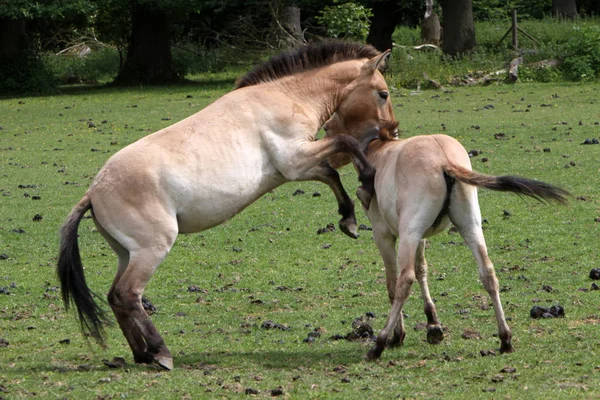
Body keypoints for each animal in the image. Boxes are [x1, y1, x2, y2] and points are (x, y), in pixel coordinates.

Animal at [56, 42, 394, 370]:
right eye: (383, 93)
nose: (392, 131)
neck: (284, 97)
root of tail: (93, 192)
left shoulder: (297, 167)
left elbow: (331, 173)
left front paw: (348, 220)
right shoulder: (295, 159)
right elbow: (346, 144)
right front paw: (367, 180)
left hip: (127, 254)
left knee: (115, 297)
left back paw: (142, 355)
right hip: (151, 249)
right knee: (127, 295)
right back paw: (161, 353)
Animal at [346, 122, 568, 360]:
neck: (377, 149)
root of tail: (443, 160)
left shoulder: (385, 235)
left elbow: (393, 282)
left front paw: (400, 334)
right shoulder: (421, 236)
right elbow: (422, 269)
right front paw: (433, 325)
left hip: (409, 233)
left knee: (405, 280)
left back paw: (378, 344)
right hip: (468, 225)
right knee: (488, 272)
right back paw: (505, 339)